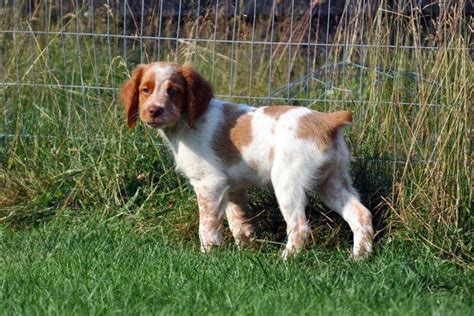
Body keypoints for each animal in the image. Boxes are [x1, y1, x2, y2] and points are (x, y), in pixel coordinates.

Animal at [121, 61, 374, 260]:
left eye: (174, 91)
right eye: (145, 90)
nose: (154, 111)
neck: (185, 123)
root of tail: (326, 121)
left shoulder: (209, 184)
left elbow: (207, 225)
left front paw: (208, 255)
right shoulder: (233, 188)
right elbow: (239, 223)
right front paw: (245, 252)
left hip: (287, 183)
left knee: (299, 226)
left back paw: (284, 259)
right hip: (332, 182)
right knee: (361, 215)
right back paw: (359, 257)